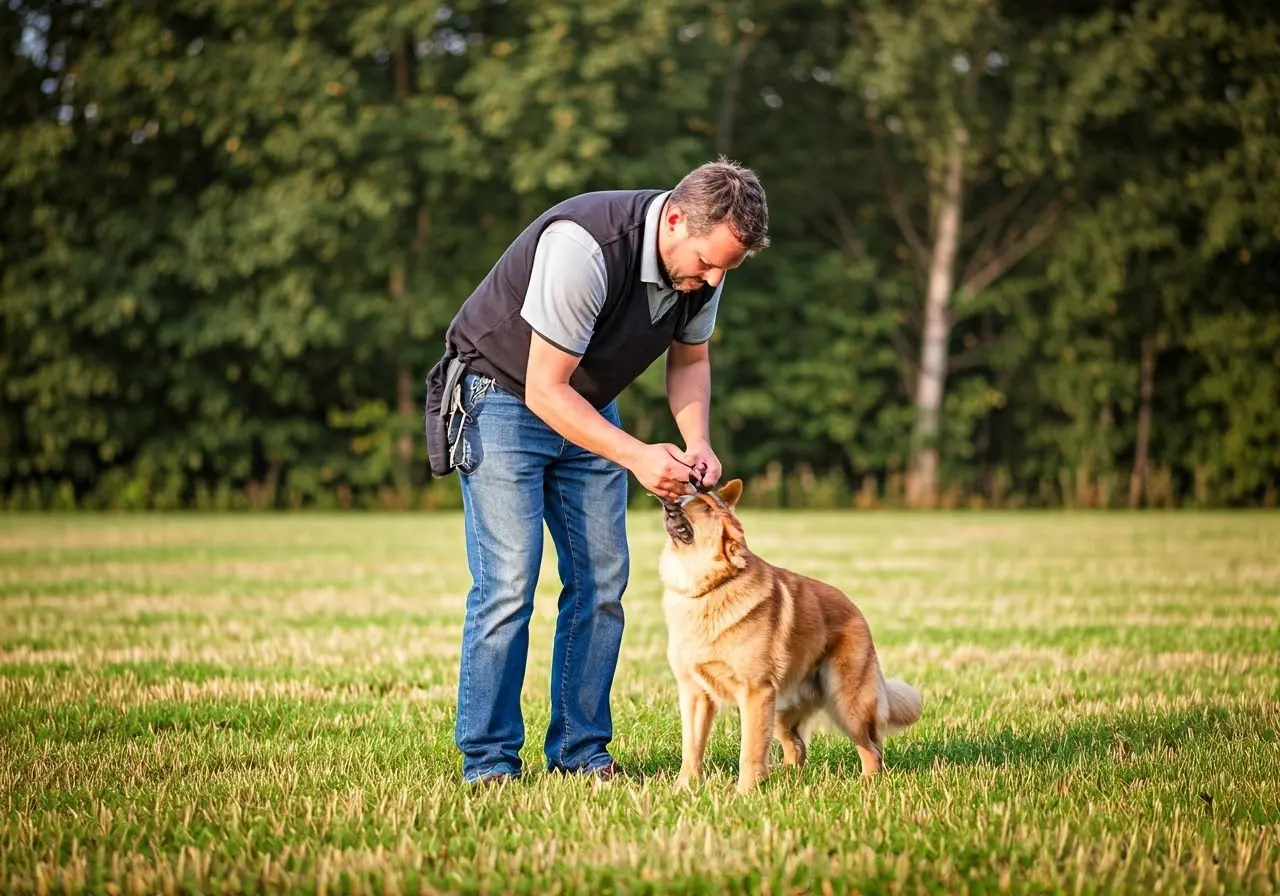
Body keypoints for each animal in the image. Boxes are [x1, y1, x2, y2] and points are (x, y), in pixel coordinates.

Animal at [660, 478, 921, 793]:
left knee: (871, 748)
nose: (669, 501)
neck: (711, 587)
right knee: (796, 747)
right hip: (781, 710)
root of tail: (856, 611)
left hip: (846, 705)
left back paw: (867, 784)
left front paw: (744, 793)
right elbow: (692, 749)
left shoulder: (755, 693)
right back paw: (785, 779)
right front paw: (682, 790)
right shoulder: (696, 694)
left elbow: (749, 751)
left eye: (705, 506)